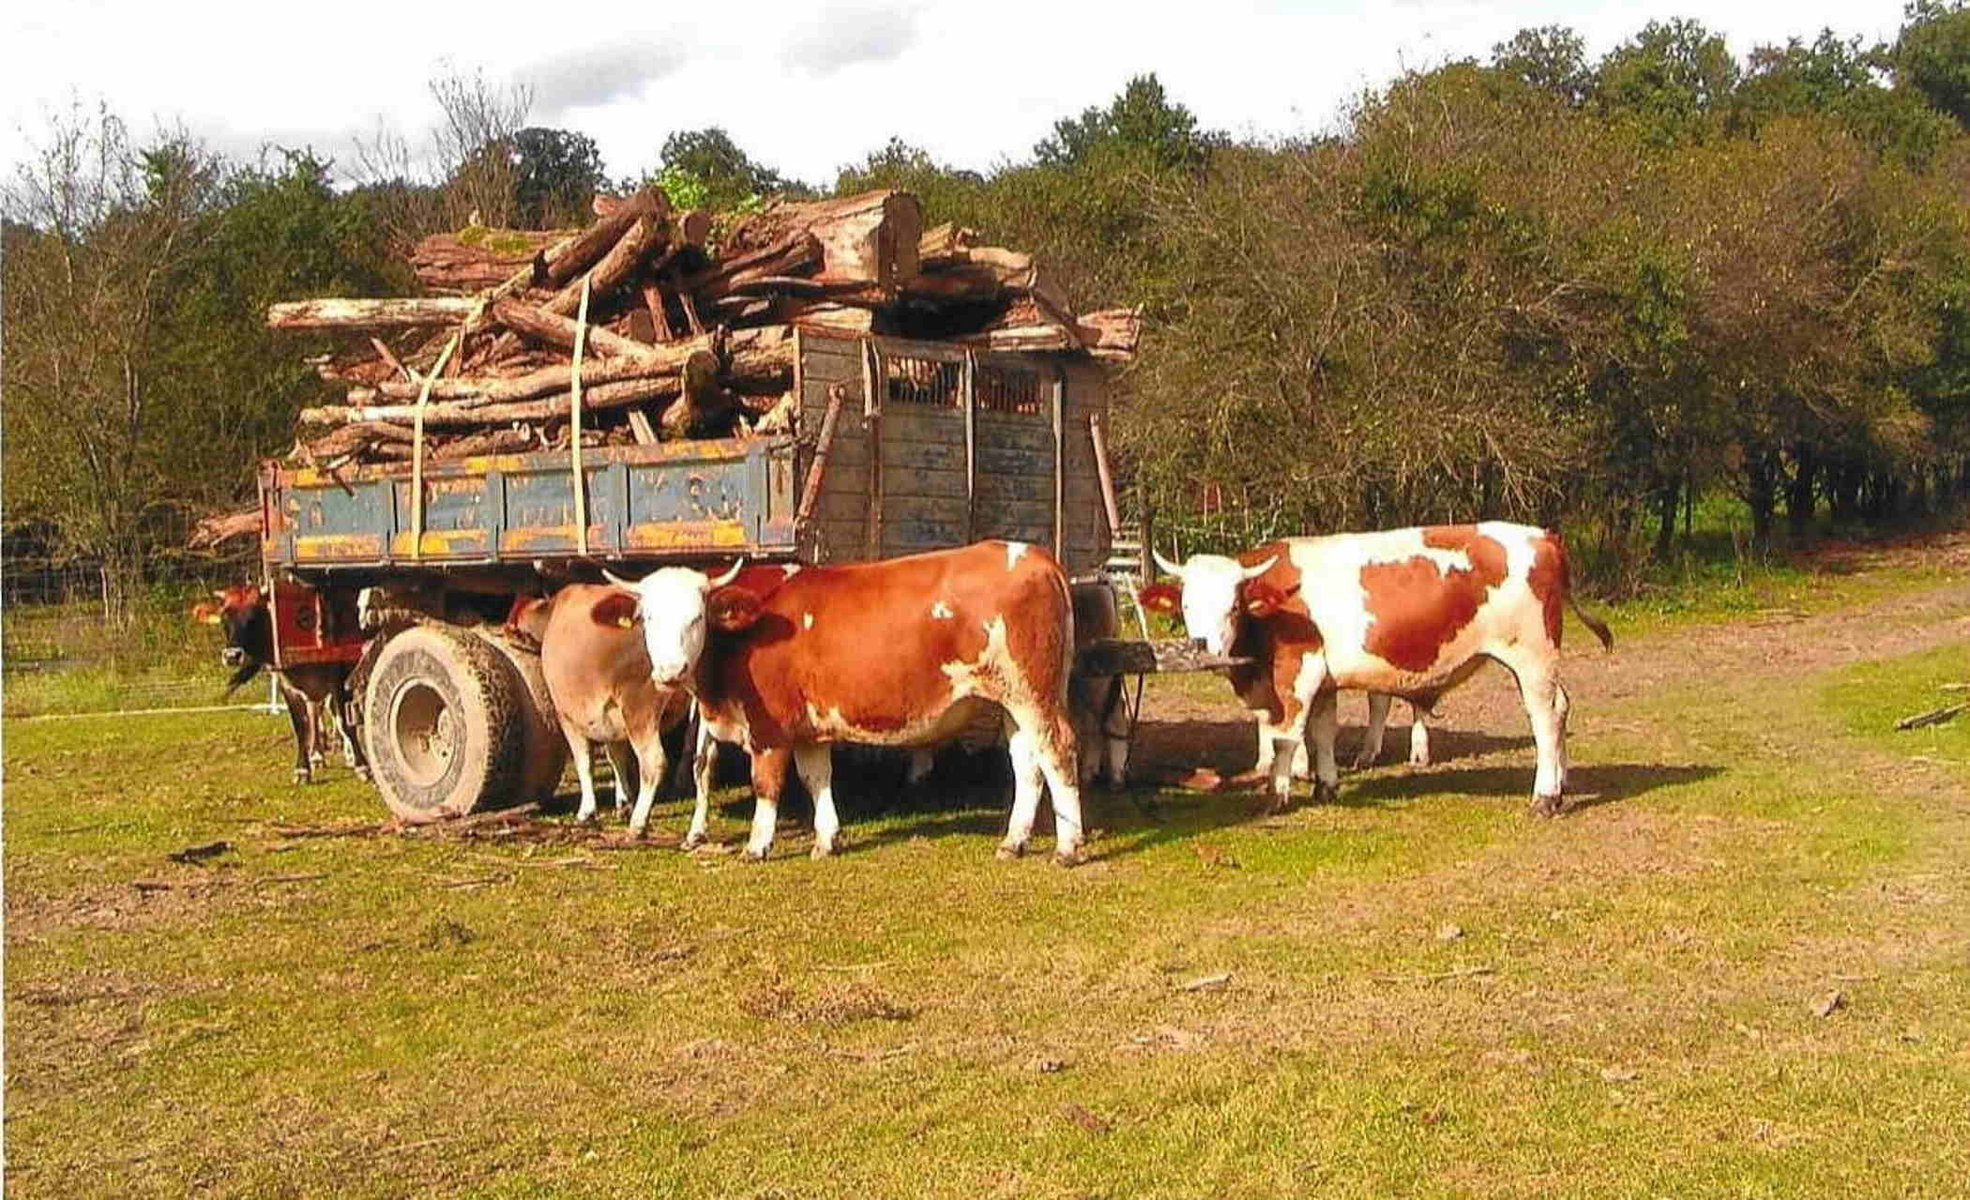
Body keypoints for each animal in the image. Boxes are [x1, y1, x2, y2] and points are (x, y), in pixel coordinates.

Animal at [193, 583, 370, 788]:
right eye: (224, 618)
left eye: (254, 616)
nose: (232, 656)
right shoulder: (287, 685)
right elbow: (301, 726)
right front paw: (302, 769)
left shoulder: (340, 676)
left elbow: (345, 721)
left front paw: (361, 765)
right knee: (315, 712)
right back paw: (317, 754)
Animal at [512, 583, 713, 839]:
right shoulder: (610, 717)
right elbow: (616, 756)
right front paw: (623, 802)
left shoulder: (567, 716)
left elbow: (584, 761)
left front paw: (587, 811)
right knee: (702, 763)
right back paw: (696, 830)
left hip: (639, 707)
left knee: (653, 761)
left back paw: (639, 822)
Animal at [594, 539, 1095, 859]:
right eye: (647, 618)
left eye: (696, 617)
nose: (670, 672)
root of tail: (1036, 556)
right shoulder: (808, 727)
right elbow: (817, 777)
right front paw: (826, 839)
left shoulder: (770, 729)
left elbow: (766, 785)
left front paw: (757, 845)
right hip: (1013, 702)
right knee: (1027, 763)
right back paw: (1014, 841)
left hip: (1034, 695)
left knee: (1058, 751)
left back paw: (1069, 847)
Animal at [1150, 520, 1607, 815]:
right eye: (1186, 605)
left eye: (1233, 605)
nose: (1203, 647)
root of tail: (1543, 536)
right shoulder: (1324, 681)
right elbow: (1323, 732)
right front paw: (1325, 787)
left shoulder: (1296, 674)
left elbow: (1286, 737)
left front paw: (1276, 796)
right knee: (1562, 707)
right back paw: (1562, 786)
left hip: (1531, 657)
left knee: (1545, 719)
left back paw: (1544, 798)